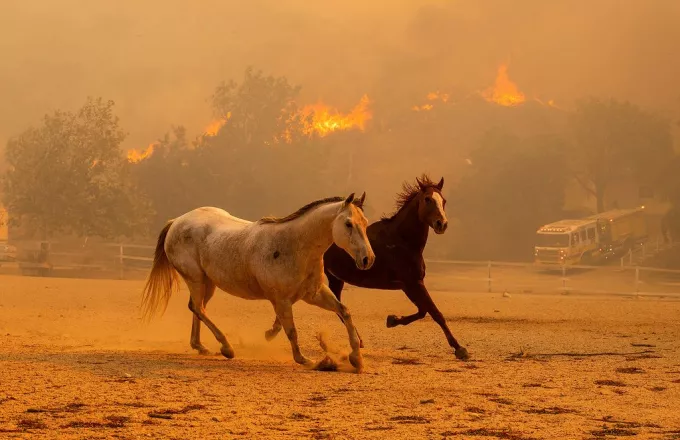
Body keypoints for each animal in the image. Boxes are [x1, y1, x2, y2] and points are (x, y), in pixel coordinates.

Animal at [141, 194, 374, 370]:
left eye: (365, 223)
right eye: (348, 223)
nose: (367, 259)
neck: (295, 246)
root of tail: (176, 222)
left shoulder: (313, 294)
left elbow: (344, 312)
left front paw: (356, 359)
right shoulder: (281, 300)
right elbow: (292, 330)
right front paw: (305, 360)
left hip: (208, 283)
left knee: (197, 308)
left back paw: (200, 346)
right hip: (196, 279)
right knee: (198, 308)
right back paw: (226, 348)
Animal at [322, 175, 470, 360]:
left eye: (443, 200)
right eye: (427, 199)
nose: (441, 224)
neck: (401, 240)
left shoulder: (409, 285)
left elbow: (423, 311)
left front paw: (392, 320)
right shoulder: (413, 283)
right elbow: (435, 313)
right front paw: (459, 348)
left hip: (335, 278)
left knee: (338, 306)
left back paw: (359, 341)